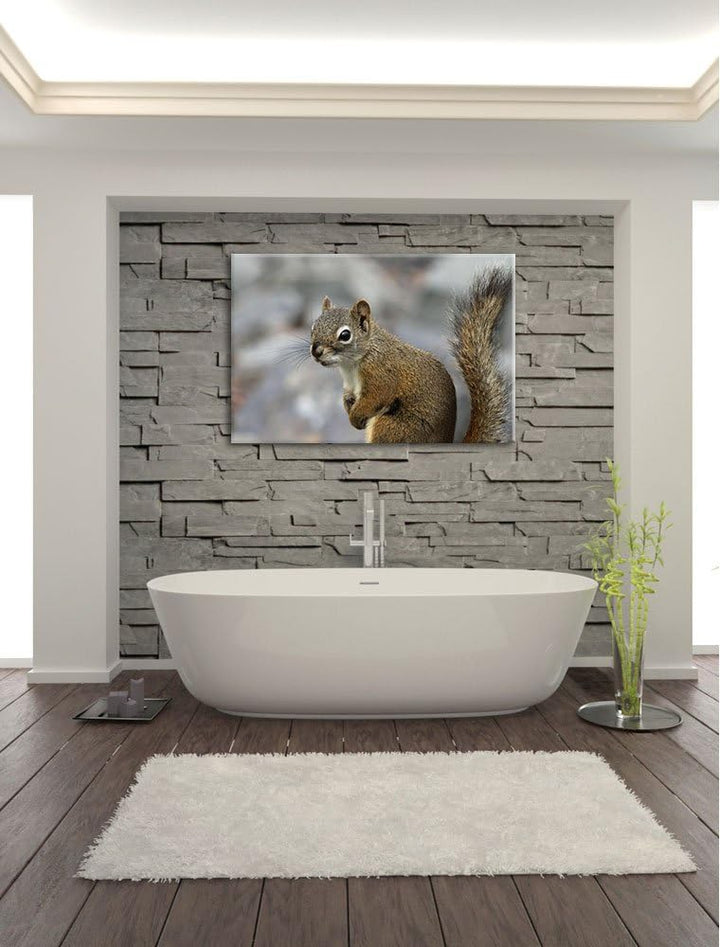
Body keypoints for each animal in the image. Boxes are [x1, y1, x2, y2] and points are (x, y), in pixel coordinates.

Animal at [310, 265, 512, 444]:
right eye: (313, 327)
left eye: (345, 335)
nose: (316, 351)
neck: (352, 364)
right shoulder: (350, 384)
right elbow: (348, 397)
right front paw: (348, 406)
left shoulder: (381, 374)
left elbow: (376, 397)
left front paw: (355, 417)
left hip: (393, 427)